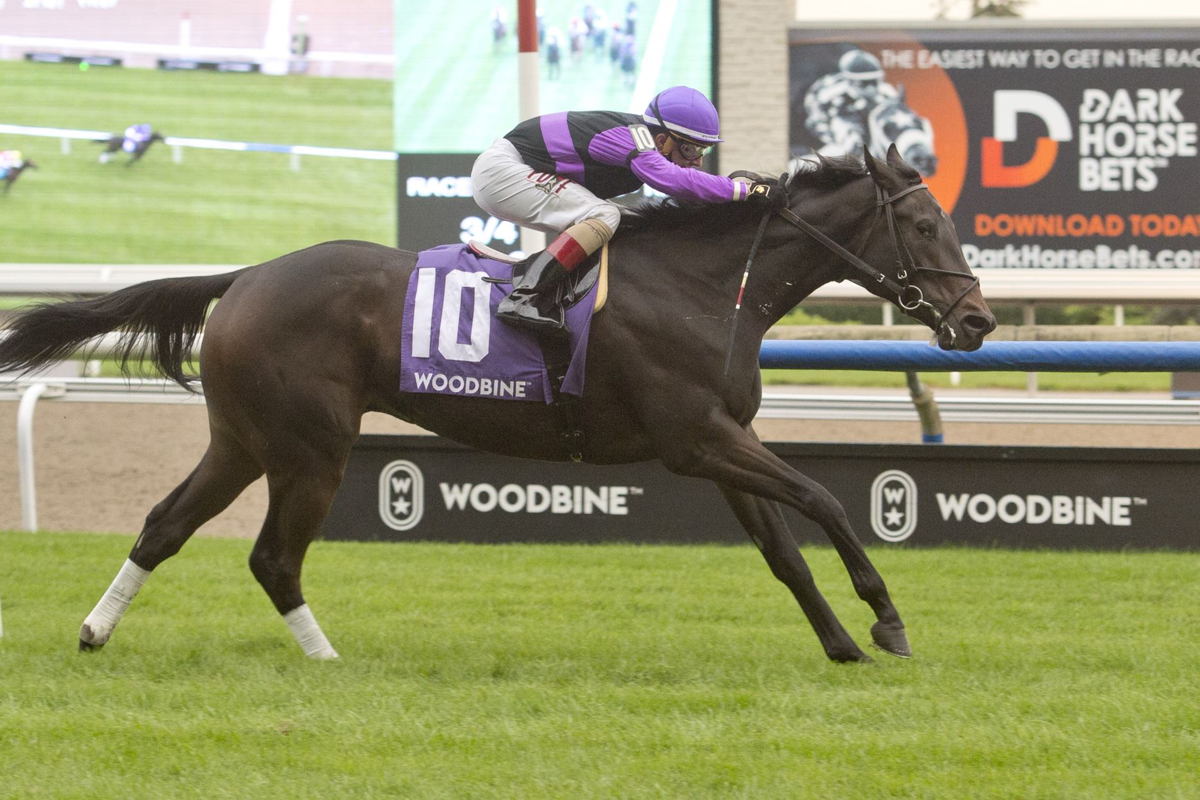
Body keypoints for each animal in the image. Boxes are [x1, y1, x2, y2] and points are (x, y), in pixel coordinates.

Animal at [0, 146, 993, 666]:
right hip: (310, 448)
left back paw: (94, 631)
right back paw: (327, 662)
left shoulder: (722, 439)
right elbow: (826, 499)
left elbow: (783, 551)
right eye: (922, 225)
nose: (978, 320)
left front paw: (842, 644)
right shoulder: (696, 439)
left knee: (164, 526)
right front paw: (886, 618)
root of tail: (246, 274)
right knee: (273, 557)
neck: (710, 286)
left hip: (243, 440)